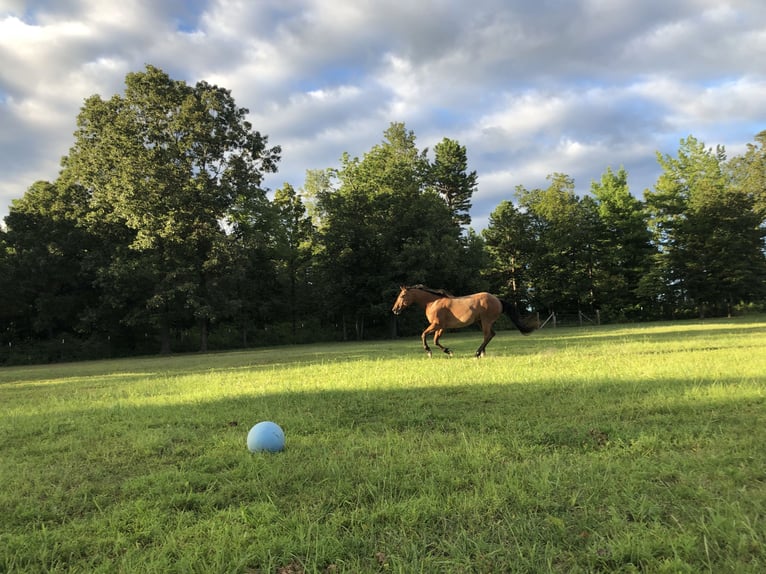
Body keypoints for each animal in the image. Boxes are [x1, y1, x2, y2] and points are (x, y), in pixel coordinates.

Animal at [391, 284, 535, 358]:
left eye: (402, 296)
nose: (394, 310)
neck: (432, 302)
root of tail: (498, 300)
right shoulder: (441, 327)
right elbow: (436, 341)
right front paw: (448, 351)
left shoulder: (436, 325)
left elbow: (423, 335)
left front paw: (429, 351)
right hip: (481, 321)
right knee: (491, 335)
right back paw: (482, 353)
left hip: (485, 321)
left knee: (487, 335)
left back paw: (477, 353)